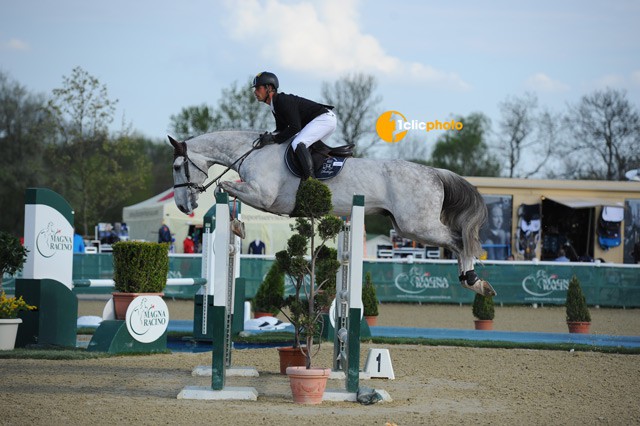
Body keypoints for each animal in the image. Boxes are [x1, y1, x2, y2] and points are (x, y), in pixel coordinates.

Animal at [169, 131, 496, 296]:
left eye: (176, 166)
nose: (184, 206)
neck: (252, 152)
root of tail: (434, 173)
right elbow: (229, 190)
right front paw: (237, 226)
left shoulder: (263, 196)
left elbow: (224, 185)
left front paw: (236, 224)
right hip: (409, 227)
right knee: (457, 241)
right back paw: (472, 280)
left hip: (416, 226)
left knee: (458, 240)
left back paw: (474, 281)